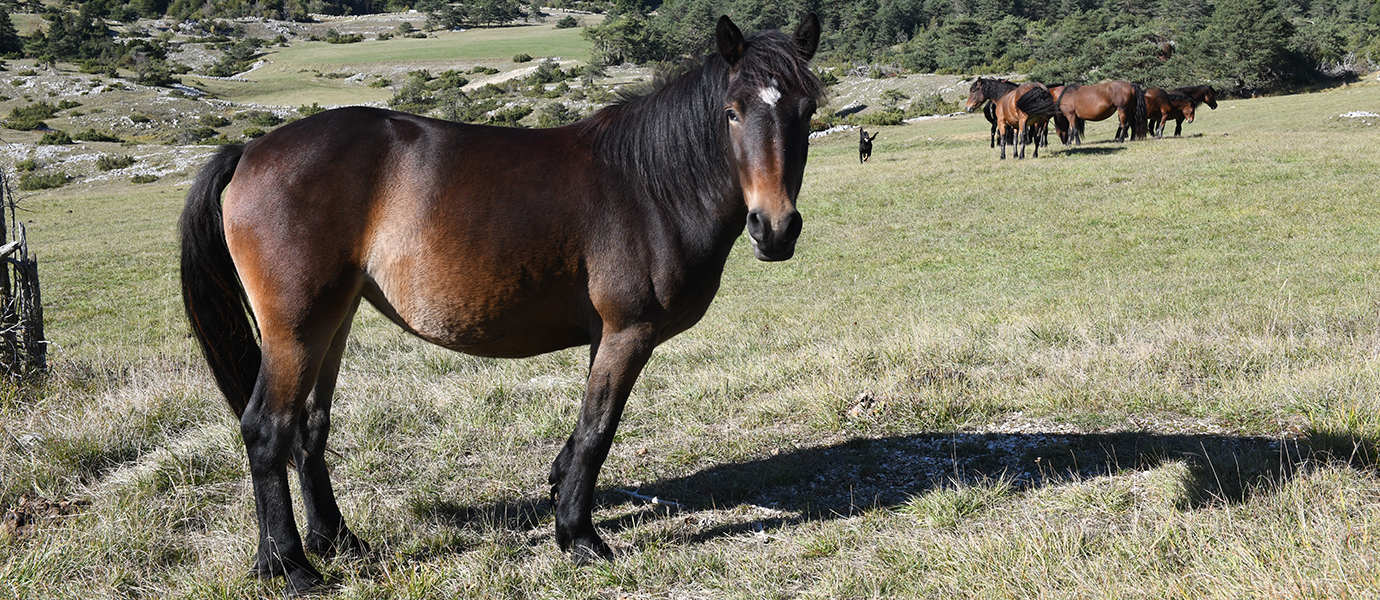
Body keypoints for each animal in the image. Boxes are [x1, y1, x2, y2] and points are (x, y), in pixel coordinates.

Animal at [176, 14, 816, 595]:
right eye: (732, 112)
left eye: (806, 112)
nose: (775, 229)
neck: (651, 184)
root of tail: (251, 150)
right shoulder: (627, 332)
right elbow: (598, 429)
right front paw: (578, 535)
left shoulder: (604, 336)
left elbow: (584, 429)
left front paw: (560, 492)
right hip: (297, 329)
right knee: (267, 430)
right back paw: (292, 567)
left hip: (332, 322)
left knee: (309, 428)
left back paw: (328, 543)